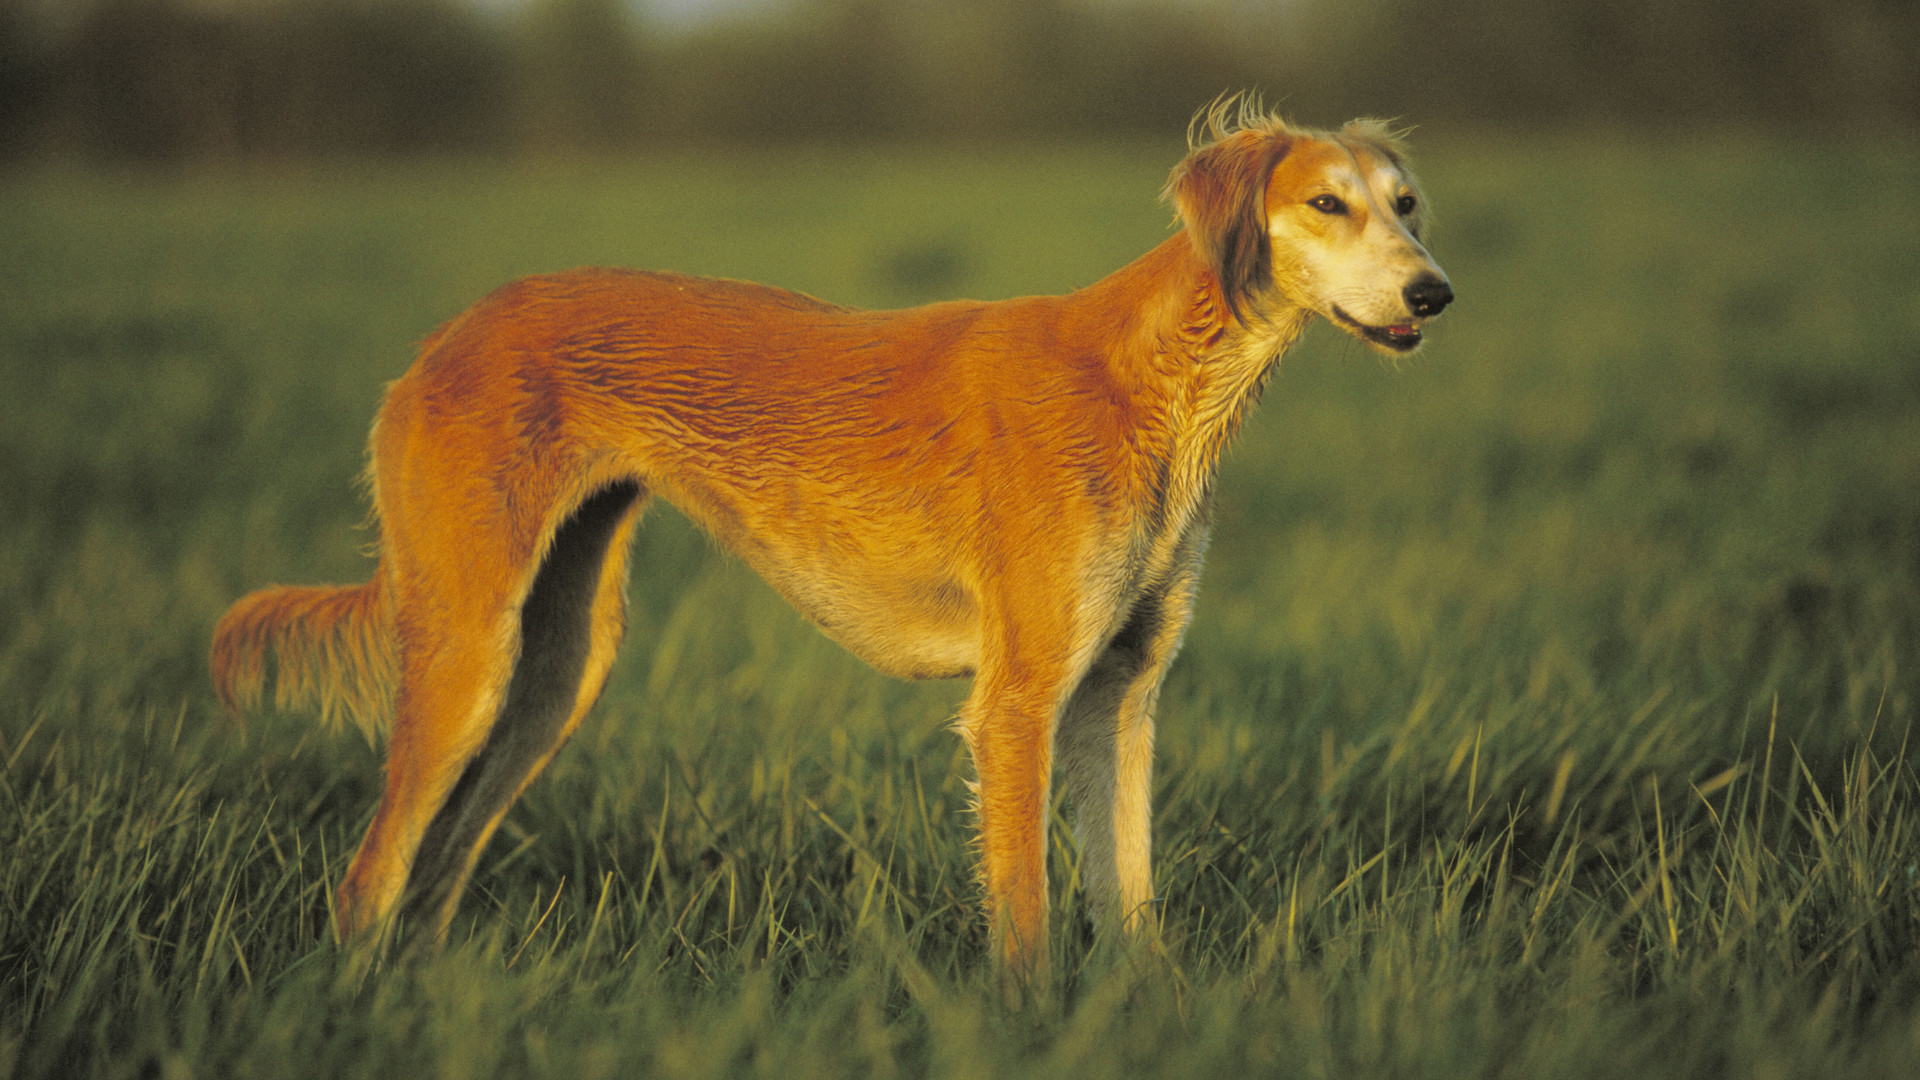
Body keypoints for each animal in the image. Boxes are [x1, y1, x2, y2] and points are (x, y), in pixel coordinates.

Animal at [211, 98, 1451, 989]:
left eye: (1407, 203)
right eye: (1327, 203)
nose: (1434, 292)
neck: (1151, 377)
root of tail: (437, 344)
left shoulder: (1124, 695)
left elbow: (1130, 894)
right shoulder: (1017, 700)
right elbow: (1027, 919)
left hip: (555, 671)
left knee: (435, 869)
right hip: (469, 652)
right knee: (370, 877)